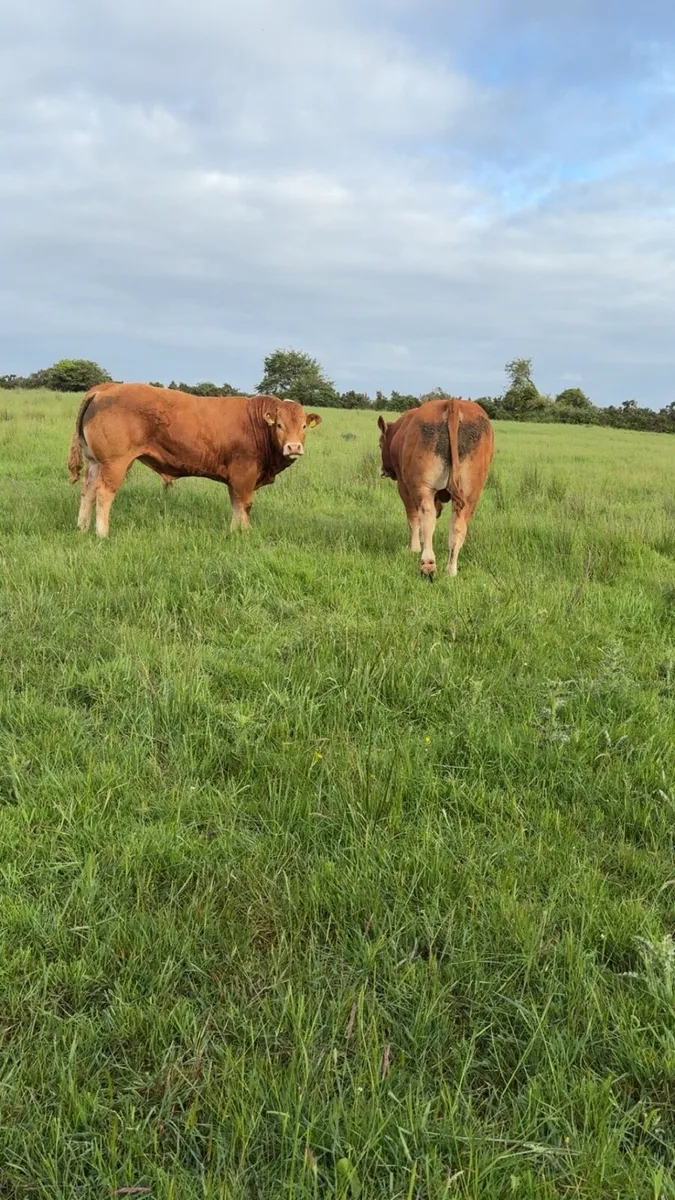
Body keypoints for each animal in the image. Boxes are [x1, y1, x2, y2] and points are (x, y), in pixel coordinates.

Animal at [67, 383, 321, 537]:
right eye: (279, 425)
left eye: (303, 426)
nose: (294, 447)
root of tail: (107, 387)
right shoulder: (244, 474)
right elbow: (245, 505)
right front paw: (245, 532)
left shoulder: (236, 479)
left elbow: (236, 504)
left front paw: (235, 532)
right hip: (115, 463)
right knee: (103, 494)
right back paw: (102, 533)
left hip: (94, 462)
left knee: (87, 492)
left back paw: (82, 528)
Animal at [377, 396, 493, 578]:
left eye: (380, 445)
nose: (383, 470)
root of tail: (452, 402)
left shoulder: (404, 485)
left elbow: (413, 517)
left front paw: (414, 547)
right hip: (470, 493)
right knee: (458, 526)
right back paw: (451, 569)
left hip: (423, 487)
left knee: (427, 516)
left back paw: (428, 563)